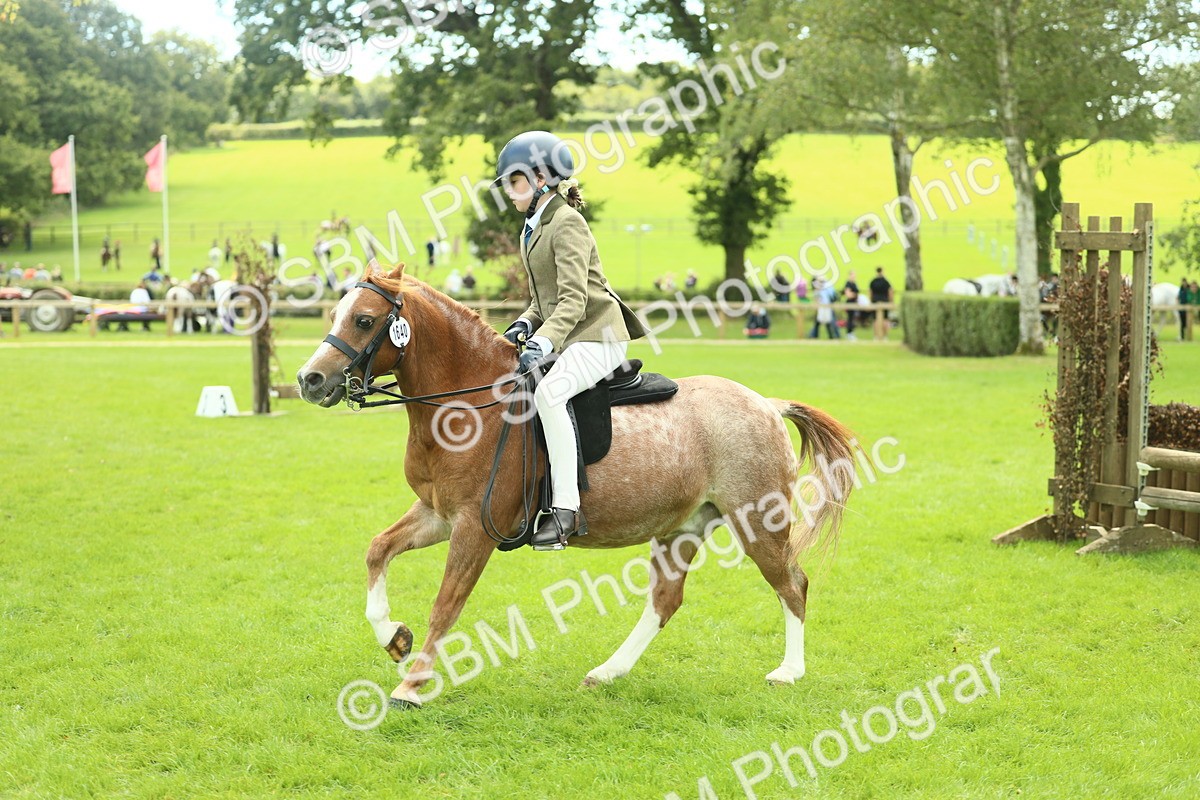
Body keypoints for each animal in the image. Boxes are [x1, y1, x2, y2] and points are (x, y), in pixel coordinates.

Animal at [296, 264, 857, 707]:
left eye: (364, 320)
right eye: (335, 314)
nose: (310, 380)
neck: (467, 407)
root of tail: (767, 403)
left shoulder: (475, 528)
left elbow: (445, 606)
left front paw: (411, 687)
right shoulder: (438, 514)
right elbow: (377, 550)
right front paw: (393, 637)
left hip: (757, 520)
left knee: (792, 584)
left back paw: (788, 672)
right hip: (683, 526)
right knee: (665, 600)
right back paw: (607, 672)